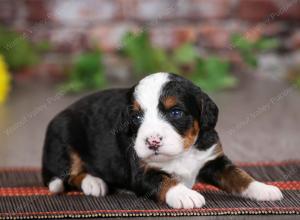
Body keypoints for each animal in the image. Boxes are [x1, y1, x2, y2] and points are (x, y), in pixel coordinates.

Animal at [42, 72, 284, 208]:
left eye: (175, 113)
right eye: (136, 117)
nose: (152, 142)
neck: (182, 152)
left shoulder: (213, 159)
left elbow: (239, 176)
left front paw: (263, 188)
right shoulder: (141, 171)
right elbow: (164, 180)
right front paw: (185, 195)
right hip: (63, 138)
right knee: (68, 175)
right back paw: (94, 182)